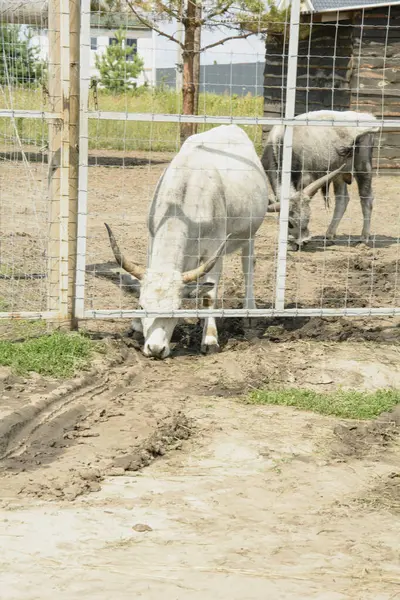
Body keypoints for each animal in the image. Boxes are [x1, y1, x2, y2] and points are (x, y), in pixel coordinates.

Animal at [262, 109, 382, 246]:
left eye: (308, 218)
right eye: (290, 224)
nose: (305, 240)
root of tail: (365, 116)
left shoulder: (305, 180)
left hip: (363, 168)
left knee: (366, 199)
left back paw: (364, 237)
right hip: (339, 173)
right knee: (342, 200)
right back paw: (329, 234)